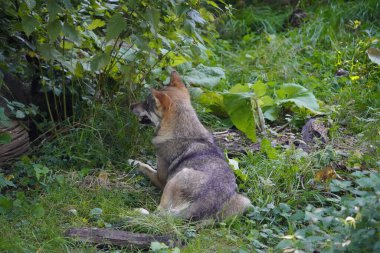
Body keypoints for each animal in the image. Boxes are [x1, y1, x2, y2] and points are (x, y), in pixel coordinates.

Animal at [131, 71, 252, 221]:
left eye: (146, 104)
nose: (131, 106)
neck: (185, 132)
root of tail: (202, 205)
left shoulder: (161, 179)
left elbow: (146, 167)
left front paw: (132, 162)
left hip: (177, 177)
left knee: (160, 214)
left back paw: (138, 211)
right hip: (245, 202)